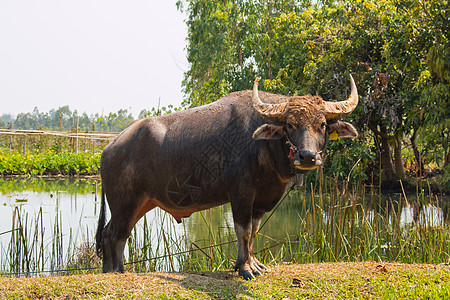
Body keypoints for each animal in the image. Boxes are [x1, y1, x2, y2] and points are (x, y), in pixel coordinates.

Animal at [96, 74, 358, 278]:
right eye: (291, 125)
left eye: (322, 124)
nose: (307, 156)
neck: (263, 146)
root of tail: (108, 148)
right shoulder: (240, 192)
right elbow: (242, 230)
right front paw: (245, 268)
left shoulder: (261, 200)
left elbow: (254, 231)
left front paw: (252, 262)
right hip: (125, 202)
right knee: (113, 235)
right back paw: (114, 272)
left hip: (141, 203)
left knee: (115, 234)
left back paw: (115, 269)